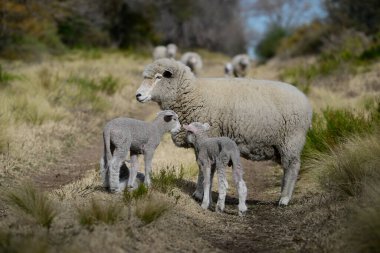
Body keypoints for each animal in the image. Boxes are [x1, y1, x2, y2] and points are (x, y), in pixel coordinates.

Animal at [135, 58, 314, 207]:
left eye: (159, 77)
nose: (138, 95)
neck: (192, 94)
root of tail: (306, 101)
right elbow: (201, 165)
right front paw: (200, 193)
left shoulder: (209, 137)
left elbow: (204, 167)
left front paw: (200, 195)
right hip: (282, 145)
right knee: (287, 168)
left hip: (291, 140)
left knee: (292, 167)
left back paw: (284, 199)